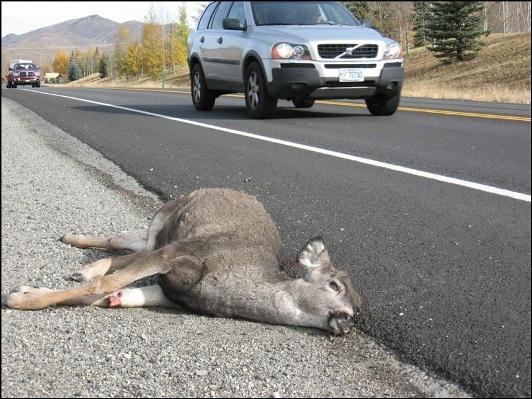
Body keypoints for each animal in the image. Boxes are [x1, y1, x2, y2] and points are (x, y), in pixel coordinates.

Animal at [3, 189, 362, 336]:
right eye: (334, 284)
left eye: (359, 307)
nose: (348, 319)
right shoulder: (181, 253)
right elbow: (108, 285)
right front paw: (21, 299)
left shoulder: (171, 290)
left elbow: (105, 295)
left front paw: (26, 290)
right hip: (166, 217)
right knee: (131, 243)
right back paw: (73, 243)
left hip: (163, 235)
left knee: (130, 245)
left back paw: (82, 261)